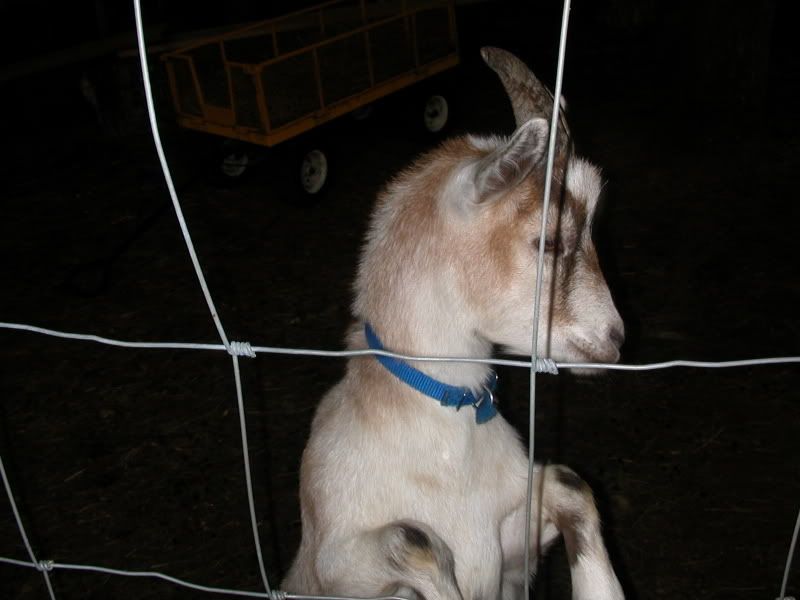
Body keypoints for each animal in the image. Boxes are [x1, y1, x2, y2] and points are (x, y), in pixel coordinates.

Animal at [282, 47, 626, 600]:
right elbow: (414, 540)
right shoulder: (331, 566)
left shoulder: (514, 543)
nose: (615, 337)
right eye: (549, 240)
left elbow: (571, 484)